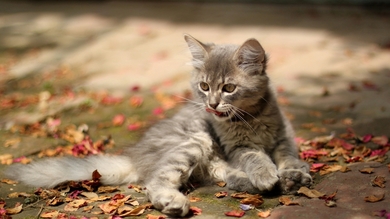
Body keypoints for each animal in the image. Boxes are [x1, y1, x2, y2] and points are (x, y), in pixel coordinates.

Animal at [4, 35, 310, 216]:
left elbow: (287, 156)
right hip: (195, 143)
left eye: (229, 88)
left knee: (230, 178)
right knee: (155, 181)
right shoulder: (237, 147)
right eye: (204, 86)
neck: (253, 117)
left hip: (211, 160)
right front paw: (267, 174)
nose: (211, 104)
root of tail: (134, 156)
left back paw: (287, 182)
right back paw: (173, 202)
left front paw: (294, 171)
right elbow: (256, 157)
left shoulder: (283, 137)